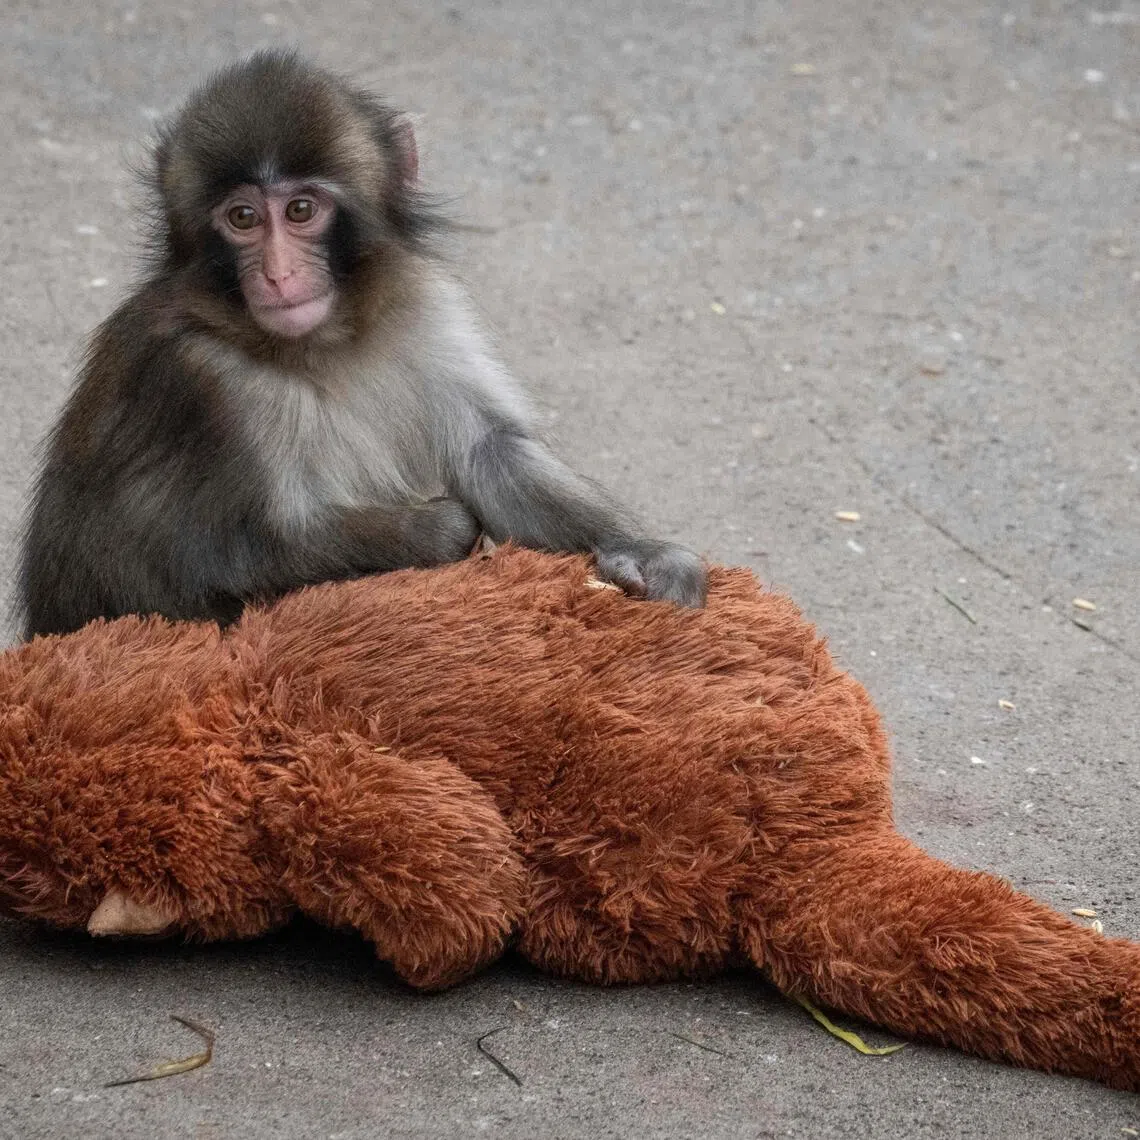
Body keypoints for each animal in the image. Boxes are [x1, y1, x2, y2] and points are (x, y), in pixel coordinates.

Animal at [16, 51, 707, 640]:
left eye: (300, 210)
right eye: (242, 219)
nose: (278, 275)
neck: (322, 345)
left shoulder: (426, 310)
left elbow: (491, 453)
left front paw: (646, 553)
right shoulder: (201, 381)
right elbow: (198, 562)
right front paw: (440, 530)